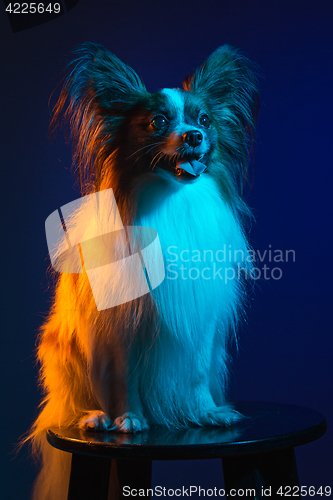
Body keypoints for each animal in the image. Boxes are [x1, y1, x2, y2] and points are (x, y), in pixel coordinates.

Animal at [27, 45, 258, 498]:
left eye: (205, 121)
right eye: (159, 122)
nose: (194, 136)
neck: (171, 199)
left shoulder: (200, 318)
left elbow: (197, 370)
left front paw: (206, 411)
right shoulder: (121, 325)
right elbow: (123, 375)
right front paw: (128, 418)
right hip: (66, 348)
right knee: (77, 398)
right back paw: (96, 416)